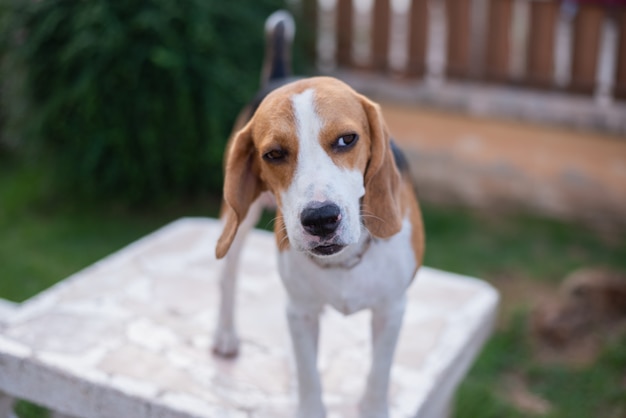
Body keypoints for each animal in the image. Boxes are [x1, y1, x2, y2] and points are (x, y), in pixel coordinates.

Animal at [212, 10, 422, 418]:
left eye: (347, 139)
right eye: (274, 154)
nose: (321, 218)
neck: (345, 261)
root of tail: (280, 74)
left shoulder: (392, 310)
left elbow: (379, 373)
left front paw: (373, 406)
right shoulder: (302, 312)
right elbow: (310, 376)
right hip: (237, 220)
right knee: (228, 276)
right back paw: (225, 334)